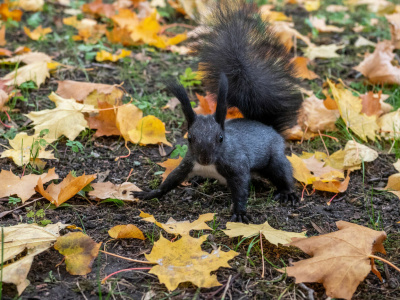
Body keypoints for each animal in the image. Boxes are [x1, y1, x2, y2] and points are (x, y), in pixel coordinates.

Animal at [133, 0, 302, 223]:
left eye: (220, 138)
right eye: (189, 138)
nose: (204, 159)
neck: (209, 166)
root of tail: (268, 127)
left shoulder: (237, 166)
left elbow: (241, 189)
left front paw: (240, 212)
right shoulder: (187, 164)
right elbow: (170, 181)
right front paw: (150, 193)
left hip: (274, 157)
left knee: (283, 172)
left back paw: (287, 193)